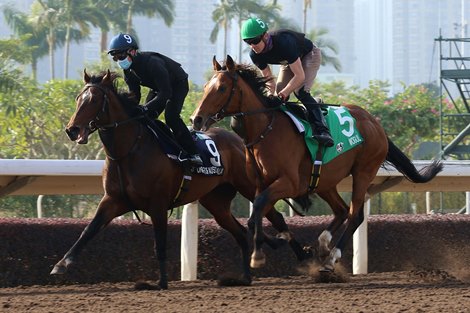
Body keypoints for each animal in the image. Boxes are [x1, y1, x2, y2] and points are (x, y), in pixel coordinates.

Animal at [49, 69, 310, 288]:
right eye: (77, 99)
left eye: (93, 100)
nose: (72, 130)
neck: (128, 151)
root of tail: (238, 140)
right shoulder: (113, 200)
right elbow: (88, 230)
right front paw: (61, 264)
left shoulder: (158, 203)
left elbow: (160, 243)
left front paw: (161, 282)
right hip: (215, 202)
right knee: (239, 232)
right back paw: (245, 276)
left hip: (249, 186)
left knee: (273, 216)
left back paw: (304, 259)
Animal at [192, 55, 444, 270]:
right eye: (205, 87)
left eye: (222, 88)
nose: (196, 119)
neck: (266, 130)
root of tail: (375, 123)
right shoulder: (259, 183)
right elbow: (259, 214)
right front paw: (280, 244)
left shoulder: (289, 183)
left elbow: (259, 211)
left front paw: (259, 255)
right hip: (324, 180)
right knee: (341, 210)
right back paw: (322, 244)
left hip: (363, 172)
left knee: (355, 214)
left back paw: (331, 258)